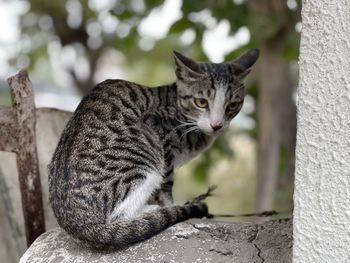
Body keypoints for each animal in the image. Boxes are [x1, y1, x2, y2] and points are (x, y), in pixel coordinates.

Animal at [47, 49, 258, 250]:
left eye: (232, 105)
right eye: (201, 102)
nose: (217, 125)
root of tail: (76, 220)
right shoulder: (158, 128)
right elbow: (166, 185)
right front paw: (170, 205)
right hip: (144, 160)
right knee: (120, 216)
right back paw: (154, 211)